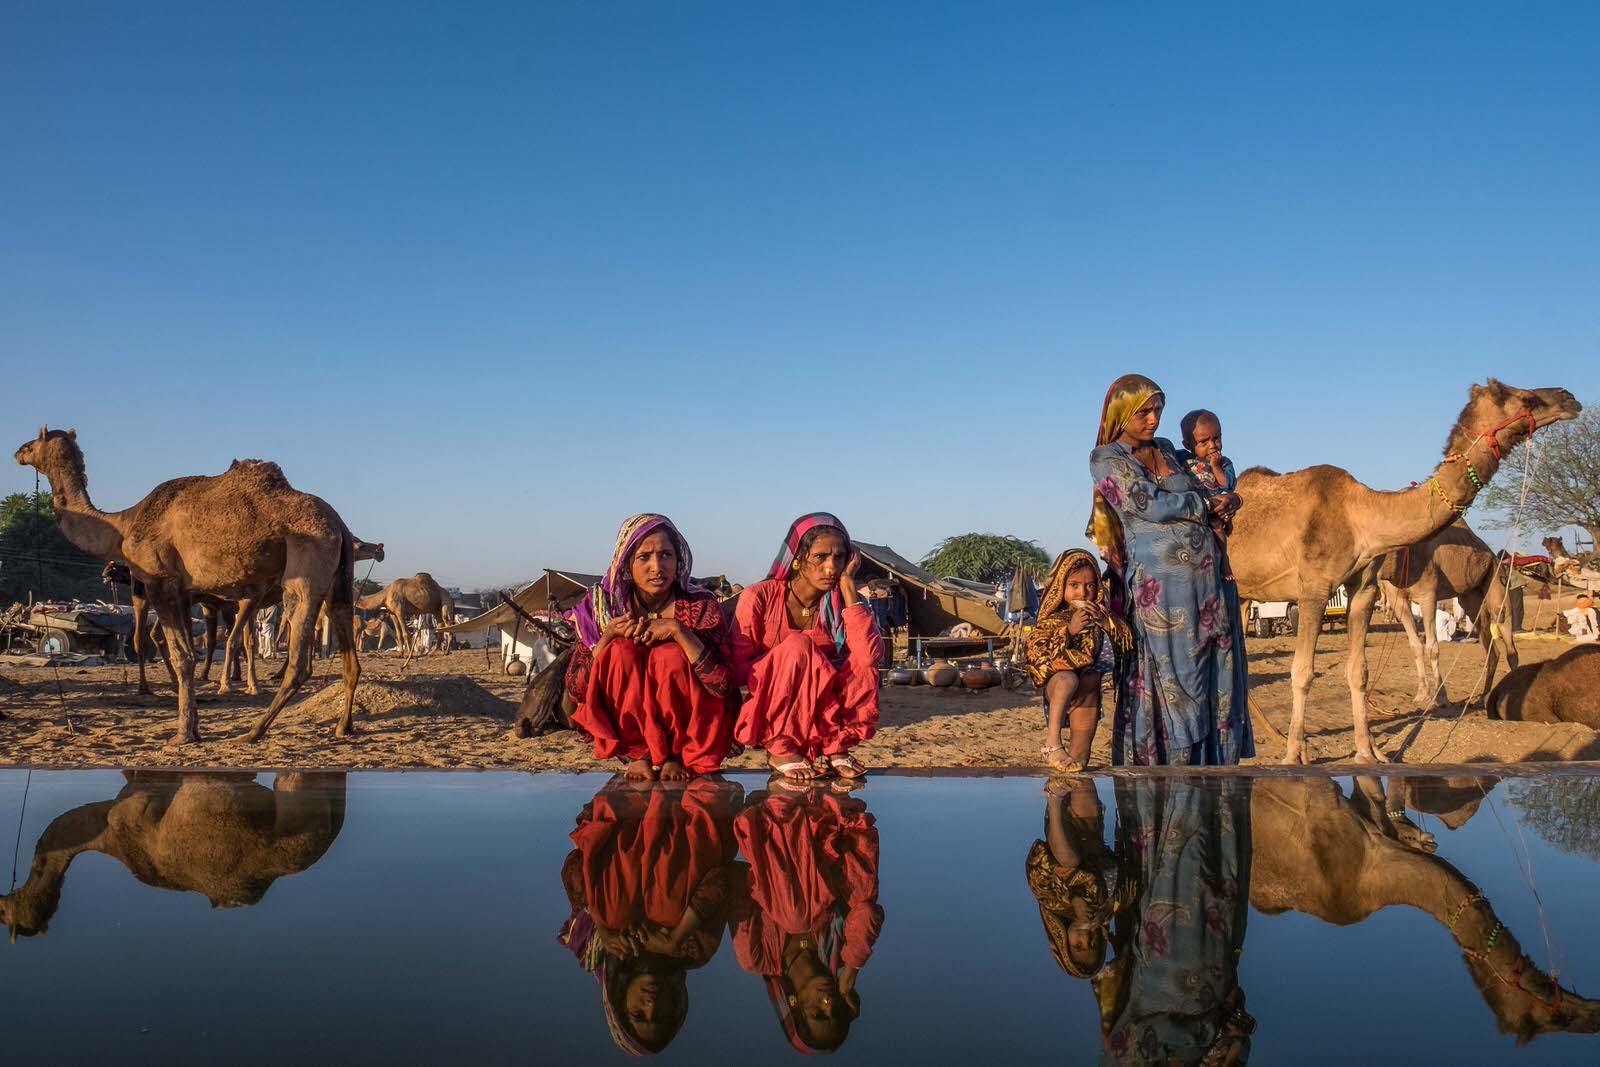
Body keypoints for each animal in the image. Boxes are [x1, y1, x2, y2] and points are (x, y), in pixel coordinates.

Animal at [15, 425, 361, 742]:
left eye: (32, 443)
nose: (18, 452)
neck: (124, 524)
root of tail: (339, 525)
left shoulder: (159, 583)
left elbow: (182, 656)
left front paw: (183, 733)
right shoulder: (184, 592)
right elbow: (187, 654)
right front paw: (192, 724)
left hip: (306, 571)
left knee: (300, 661)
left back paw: (254, 730)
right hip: (340, 582)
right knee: (350, 657)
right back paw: (342, 727)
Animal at [1382, 518, 1516, 710]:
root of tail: (1494, 557)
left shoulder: (1428, 595)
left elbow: (1432, 647)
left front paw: (1440, 697)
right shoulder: (1397, 598)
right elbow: (1415, 645)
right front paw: (1421, 695)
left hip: (1497, 580)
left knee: (1508, 639)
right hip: (1471, 597)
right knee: (1492, 649)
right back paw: (1481, 699)